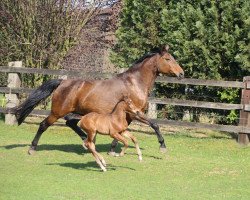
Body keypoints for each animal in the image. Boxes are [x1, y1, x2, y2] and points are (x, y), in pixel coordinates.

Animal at [15, 45, 184, 155]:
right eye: (168, 59)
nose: (181, 73)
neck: (135, 83)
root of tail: (62, 82)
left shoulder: (128, 116)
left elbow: (121, 131)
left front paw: (112, 150)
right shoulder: (136, 113)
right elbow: (155, 124)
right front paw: (163, 146)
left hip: (78, 112)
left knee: (70, 123)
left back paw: (86, 140)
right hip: (58, 112)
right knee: (44, 125)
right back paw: (32, 148)